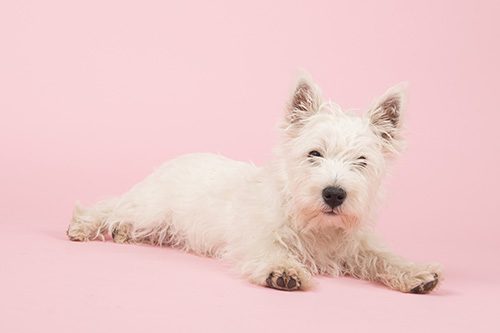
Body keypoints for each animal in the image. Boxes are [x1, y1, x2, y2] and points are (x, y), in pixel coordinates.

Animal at [66, 76, 442, 294]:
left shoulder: (356, 245)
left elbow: (383, 256)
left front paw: (417, 273)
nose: (334, 194)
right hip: (150, 208)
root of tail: (176, 158)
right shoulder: (257, 237)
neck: (316, 225)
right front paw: (283, 271)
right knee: (110, 207)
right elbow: (270, 250)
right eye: (314, 153)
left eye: (361, 162)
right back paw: (82, 226)